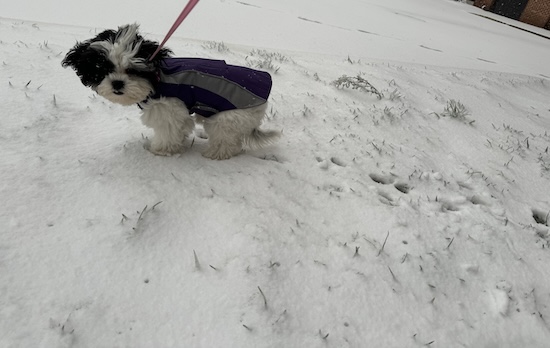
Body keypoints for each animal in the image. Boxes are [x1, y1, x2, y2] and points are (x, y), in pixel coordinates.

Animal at [62, 23, 282, 160]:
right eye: (102, 69)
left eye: (132, 70)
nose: (117, 84)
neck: (157, 80)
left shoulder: (166, 107)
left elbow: (169, 130)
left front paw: (160, 151)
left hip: (228, 116)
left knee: (226, 138)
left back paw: (216, 154)